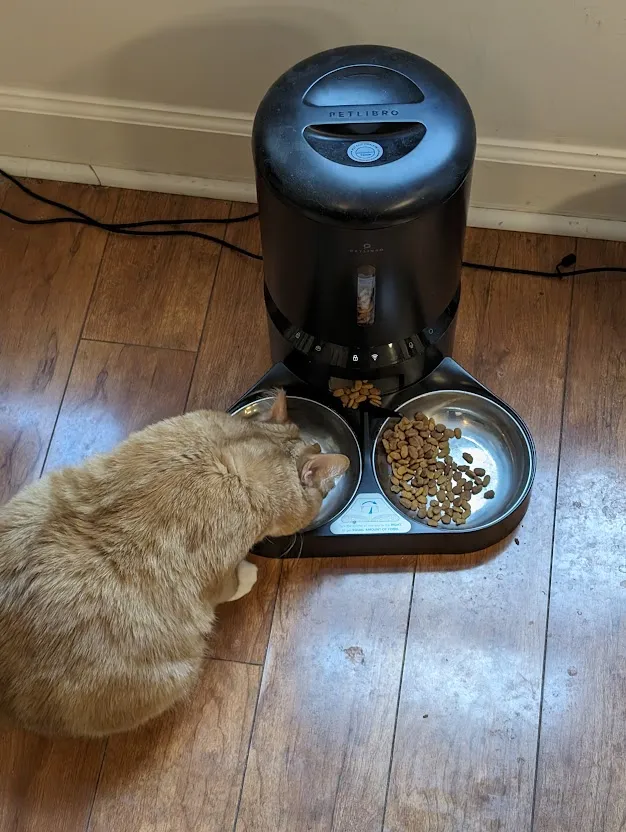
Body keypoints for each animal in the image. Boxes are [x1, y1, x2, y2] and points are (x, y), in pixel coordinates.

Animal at [0, 392, 346, 736]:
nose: (330, 487)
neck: (236, 455)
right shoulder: (217, 575)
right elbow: (232, 585)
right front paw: (248, 572)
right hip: (179, 672)